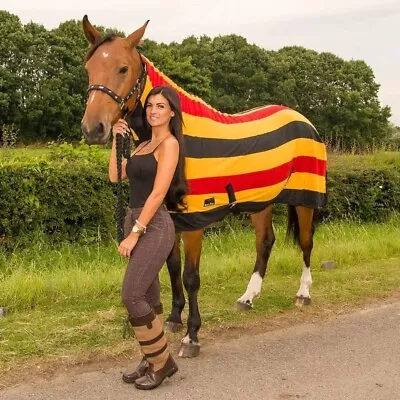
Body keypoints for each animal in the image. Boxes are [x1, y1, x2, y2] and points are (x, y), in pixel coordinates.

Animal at [79, 17, 326, 358]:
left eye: (122, 68)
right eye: (89, 67)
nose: (93, 129)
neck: (179, 136)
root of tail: (303, 119)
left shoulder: (195, 222)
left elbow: (191, 276)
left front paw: (191, 336)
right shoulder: (171, 217)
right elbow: (171, 268)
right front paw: (173, 319)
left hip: (305, 199)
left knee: (306, 242)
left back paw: (303, 294)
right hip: (261, 201)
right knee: (264, 242)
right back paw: (247, 298)